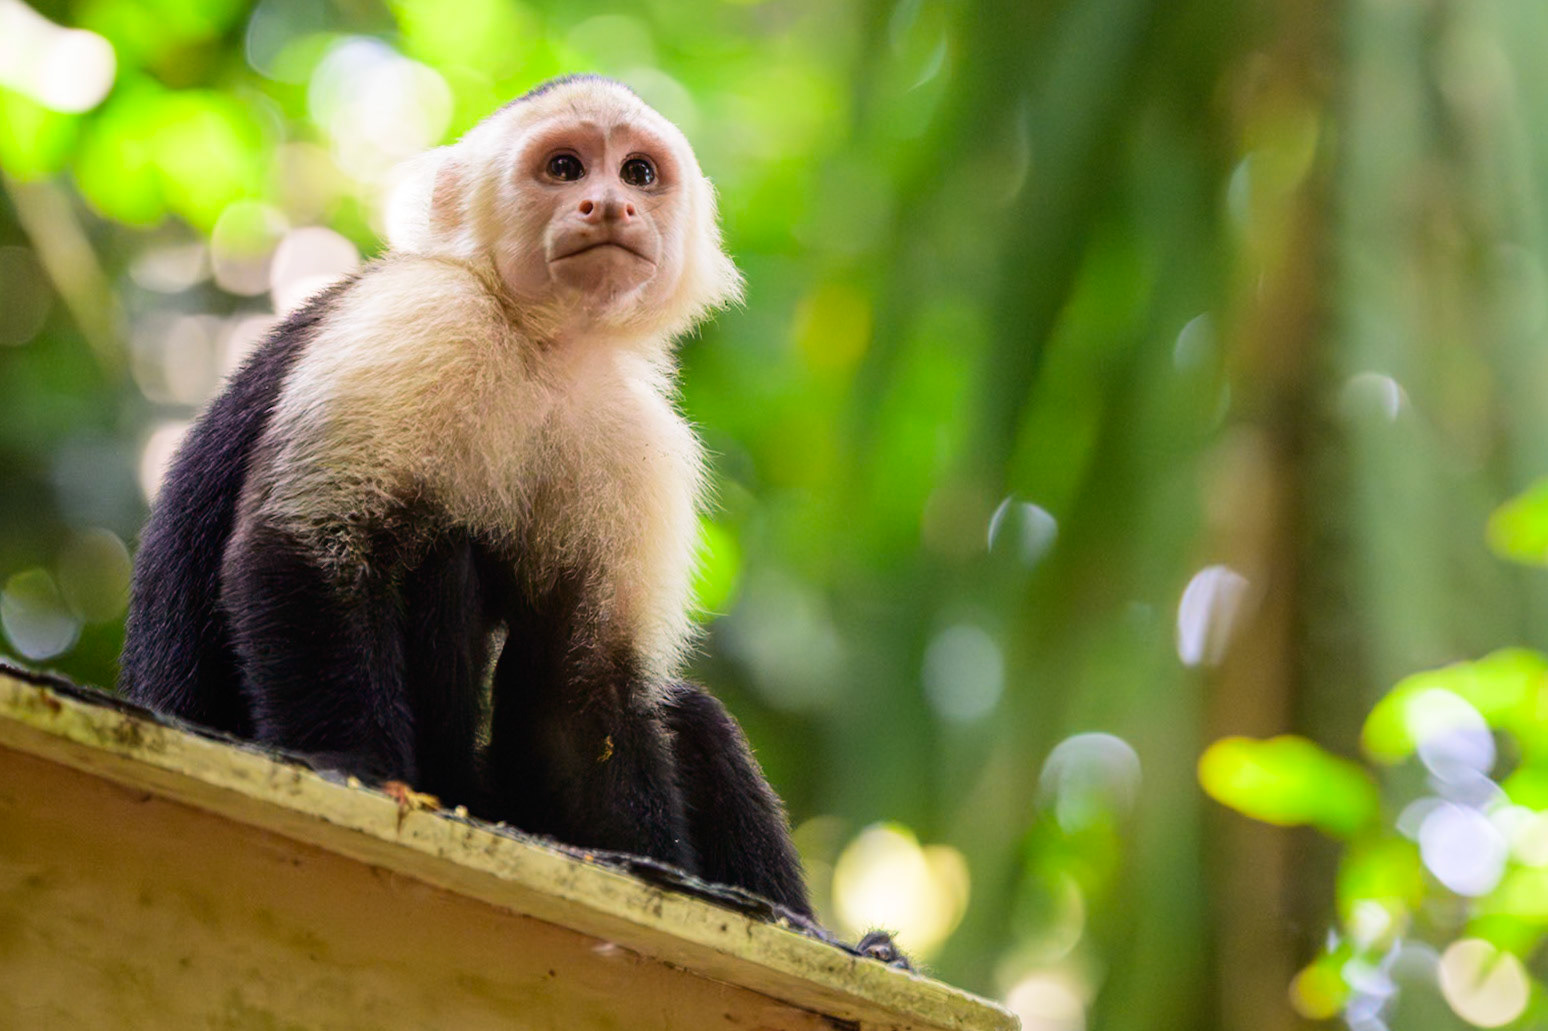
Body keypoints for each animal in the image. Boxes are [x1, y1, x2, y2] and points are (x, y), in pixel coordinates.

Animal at [117, 75, 824, 918]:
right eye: (564, 167)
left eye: (639, 174)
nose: (609, 205)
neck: (539, 342)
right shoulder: (426, 315)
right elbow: (305, 543)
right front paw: (350, 764)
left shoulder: (639, 441)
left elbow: (581, 694)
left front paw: (670, 878)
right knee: (438, 549)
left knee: (689, 715)